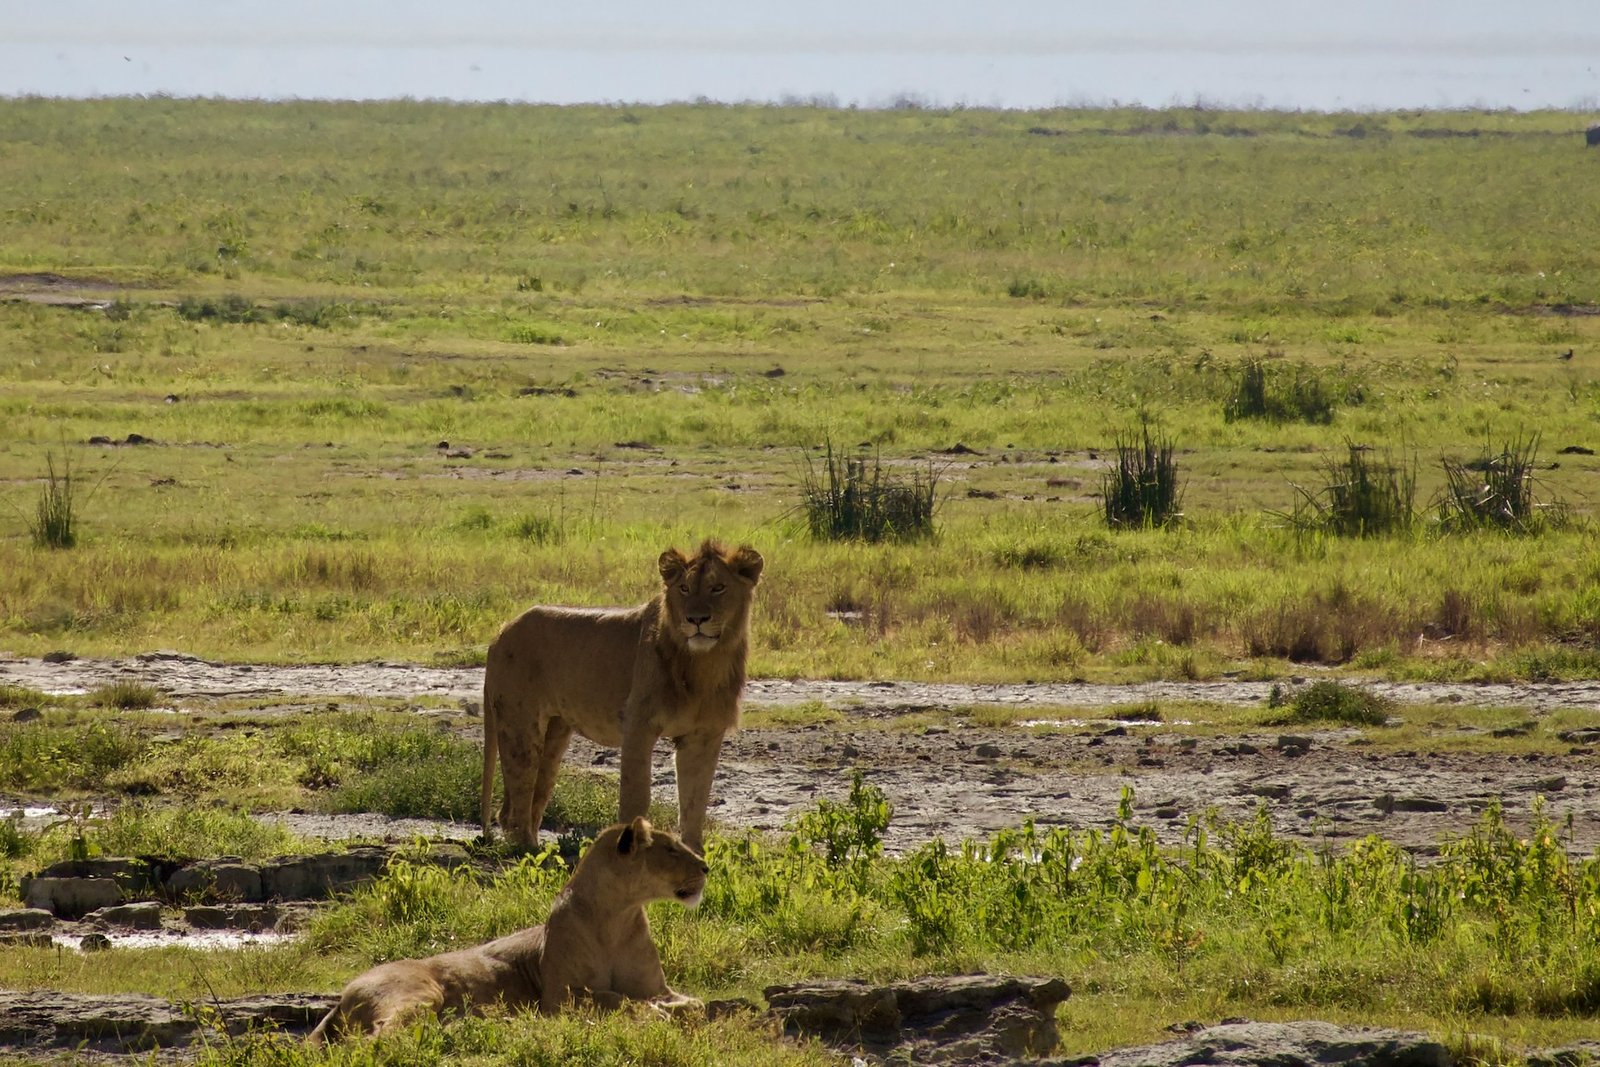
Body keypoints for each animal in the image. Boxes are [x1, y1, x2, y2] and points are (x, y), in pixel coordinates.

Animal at [307, 817, 707, 1043]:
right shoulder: (558, 998)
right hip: (417, 993)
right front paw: (653, 1012)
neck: (618, 916)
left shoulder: (656, 985)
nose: (706, 866)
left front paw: (673, 1008)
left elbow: (695, 1004)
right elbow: (610, 996)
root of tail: (343, 994)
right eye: (672, 849)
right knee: (377, 1037)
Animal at [481, 539, 764, 851]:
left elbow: (695, 802)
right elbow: (636, 798)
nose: (696, 619)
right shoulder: (638, 725)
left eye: (718, 588)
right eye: (684, 588)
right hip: (520, 726)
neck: (704, 663)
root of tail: (501, 632)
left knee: (524, 802)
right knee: (518, 798)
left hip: (554, 735)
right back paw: (527, 850)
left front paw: (694, 853)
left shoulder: (703, 735)